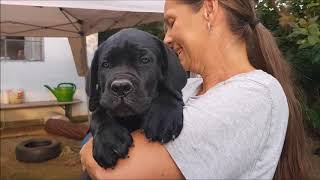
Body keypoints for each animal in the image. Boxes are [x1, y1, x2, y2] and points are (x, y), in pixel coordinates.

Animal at [87, 27, 188, 169]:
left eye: (144, 60)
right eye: (105, 64)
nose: (120, 87)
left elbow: (168, 91)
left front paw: (163, 116)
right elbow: (99, 114)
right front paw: (107, 140)